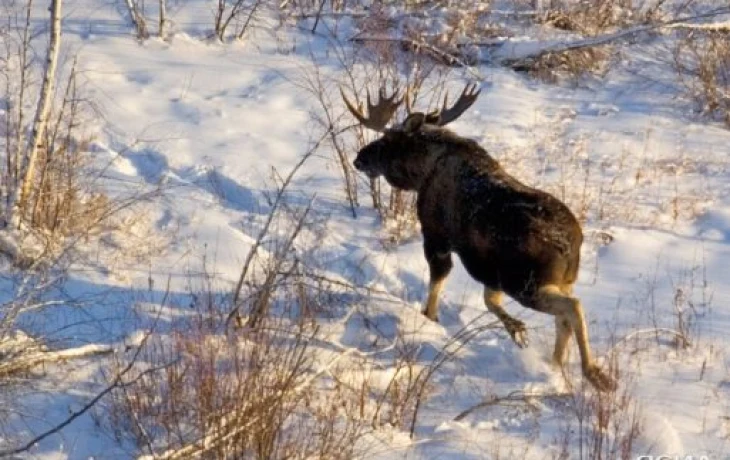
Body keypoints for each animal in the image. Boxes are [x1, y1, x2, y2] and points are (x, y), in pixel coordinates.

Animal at [342, 83, 616, 392]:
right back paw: (556, 366)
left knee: (573, 308)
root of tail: (571, 244)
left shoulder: (436, 237)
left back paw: (594, 373)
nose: (359, 158)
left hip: (525, 283)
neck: (422, 171)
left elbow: (438, 283)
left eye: (388, 139)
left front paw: (431, 318)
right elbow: (489, 300)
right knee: (564, 318)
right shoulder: (488, 271)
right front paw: (516, 330)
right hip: (559, 280)